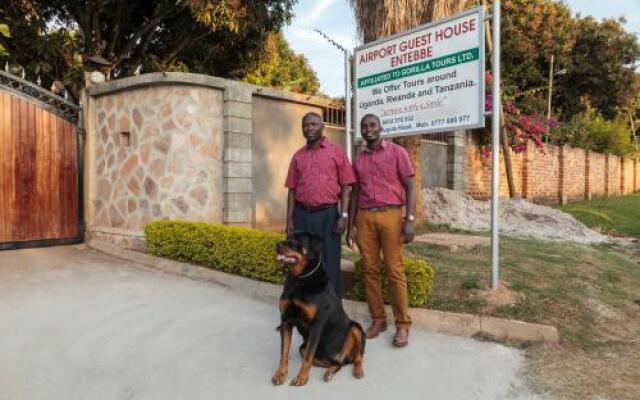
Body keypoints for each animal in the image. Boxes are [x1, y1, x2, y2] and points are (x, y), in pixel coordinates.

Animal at [272, 233, 364, 386]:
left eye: (296, 240)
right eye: (288, 236)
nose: (277, 245)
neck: (300, 279)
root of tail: (341, 355)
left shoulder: (316, 325)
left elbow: (308, 357)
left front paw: (301, 377)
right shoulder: (286, 320)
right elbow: (284, 352)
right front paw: (280, 373)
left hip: (356, 328)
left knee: (358, 356)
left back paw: (358, 370)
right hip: (305, 348)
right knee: (335, 363)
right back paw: (329, 372)